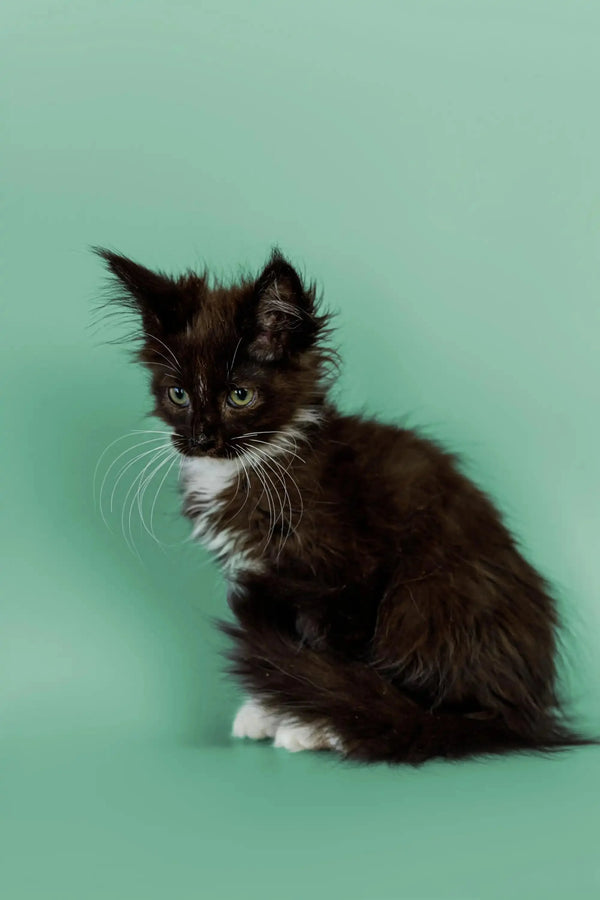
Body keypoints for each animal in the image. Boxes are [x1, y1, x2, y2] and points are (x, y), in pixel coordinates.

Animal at [96, 248, 588, 768]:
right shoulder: (261, 575)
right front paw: (271, 710)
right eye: (179, 394)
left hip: (423, 598)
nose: (201, 439)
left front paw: (311, 723)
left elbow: (329, 653)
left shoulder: (347, 579)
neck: (259, 466)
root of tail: (519, 714)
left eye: (240, 396)